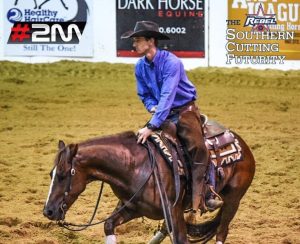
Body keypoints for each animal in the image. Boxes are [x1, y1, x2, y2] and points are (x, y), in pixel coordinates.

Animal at [43, 129, 255, 243]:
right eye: (51, 174)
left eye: (62, 175)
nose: (48, 211)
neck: (135, 166)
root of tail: (242, 144)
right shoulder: (133, 208)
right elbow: (108, 225)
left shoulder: (173, 211)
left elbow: (181, 239)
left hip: (233, 200)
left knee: (221, 231)